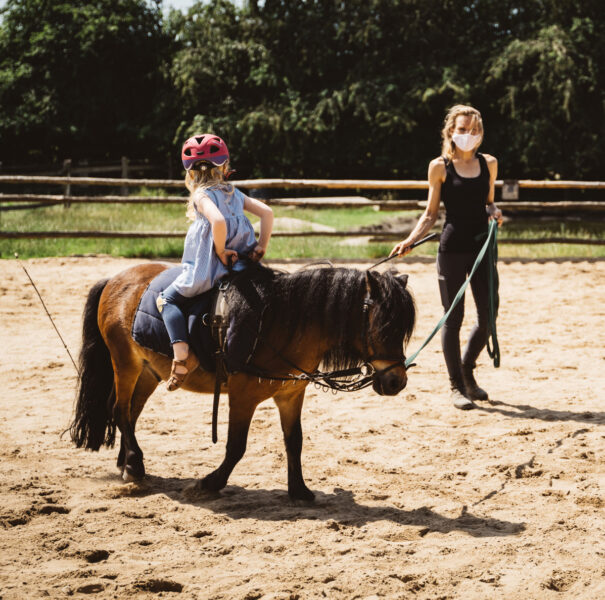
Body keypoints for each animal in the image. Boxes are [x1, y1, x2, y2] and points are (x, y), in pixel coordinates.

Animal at [68, 264, 412, 502]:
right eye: (383, 326)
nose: (397, 381)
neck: (281, 323)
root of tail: (115, 279)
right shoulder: (242, 396)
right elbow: (236, 446)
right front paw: (209, 483)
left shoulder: (291, 395)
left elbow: (294, 442)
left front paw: (299, 490)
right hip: (125, 363)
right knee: (120, 409)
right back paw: (134, 464)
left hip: (148, 370)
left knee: (131, 413)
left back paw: (126, 463)